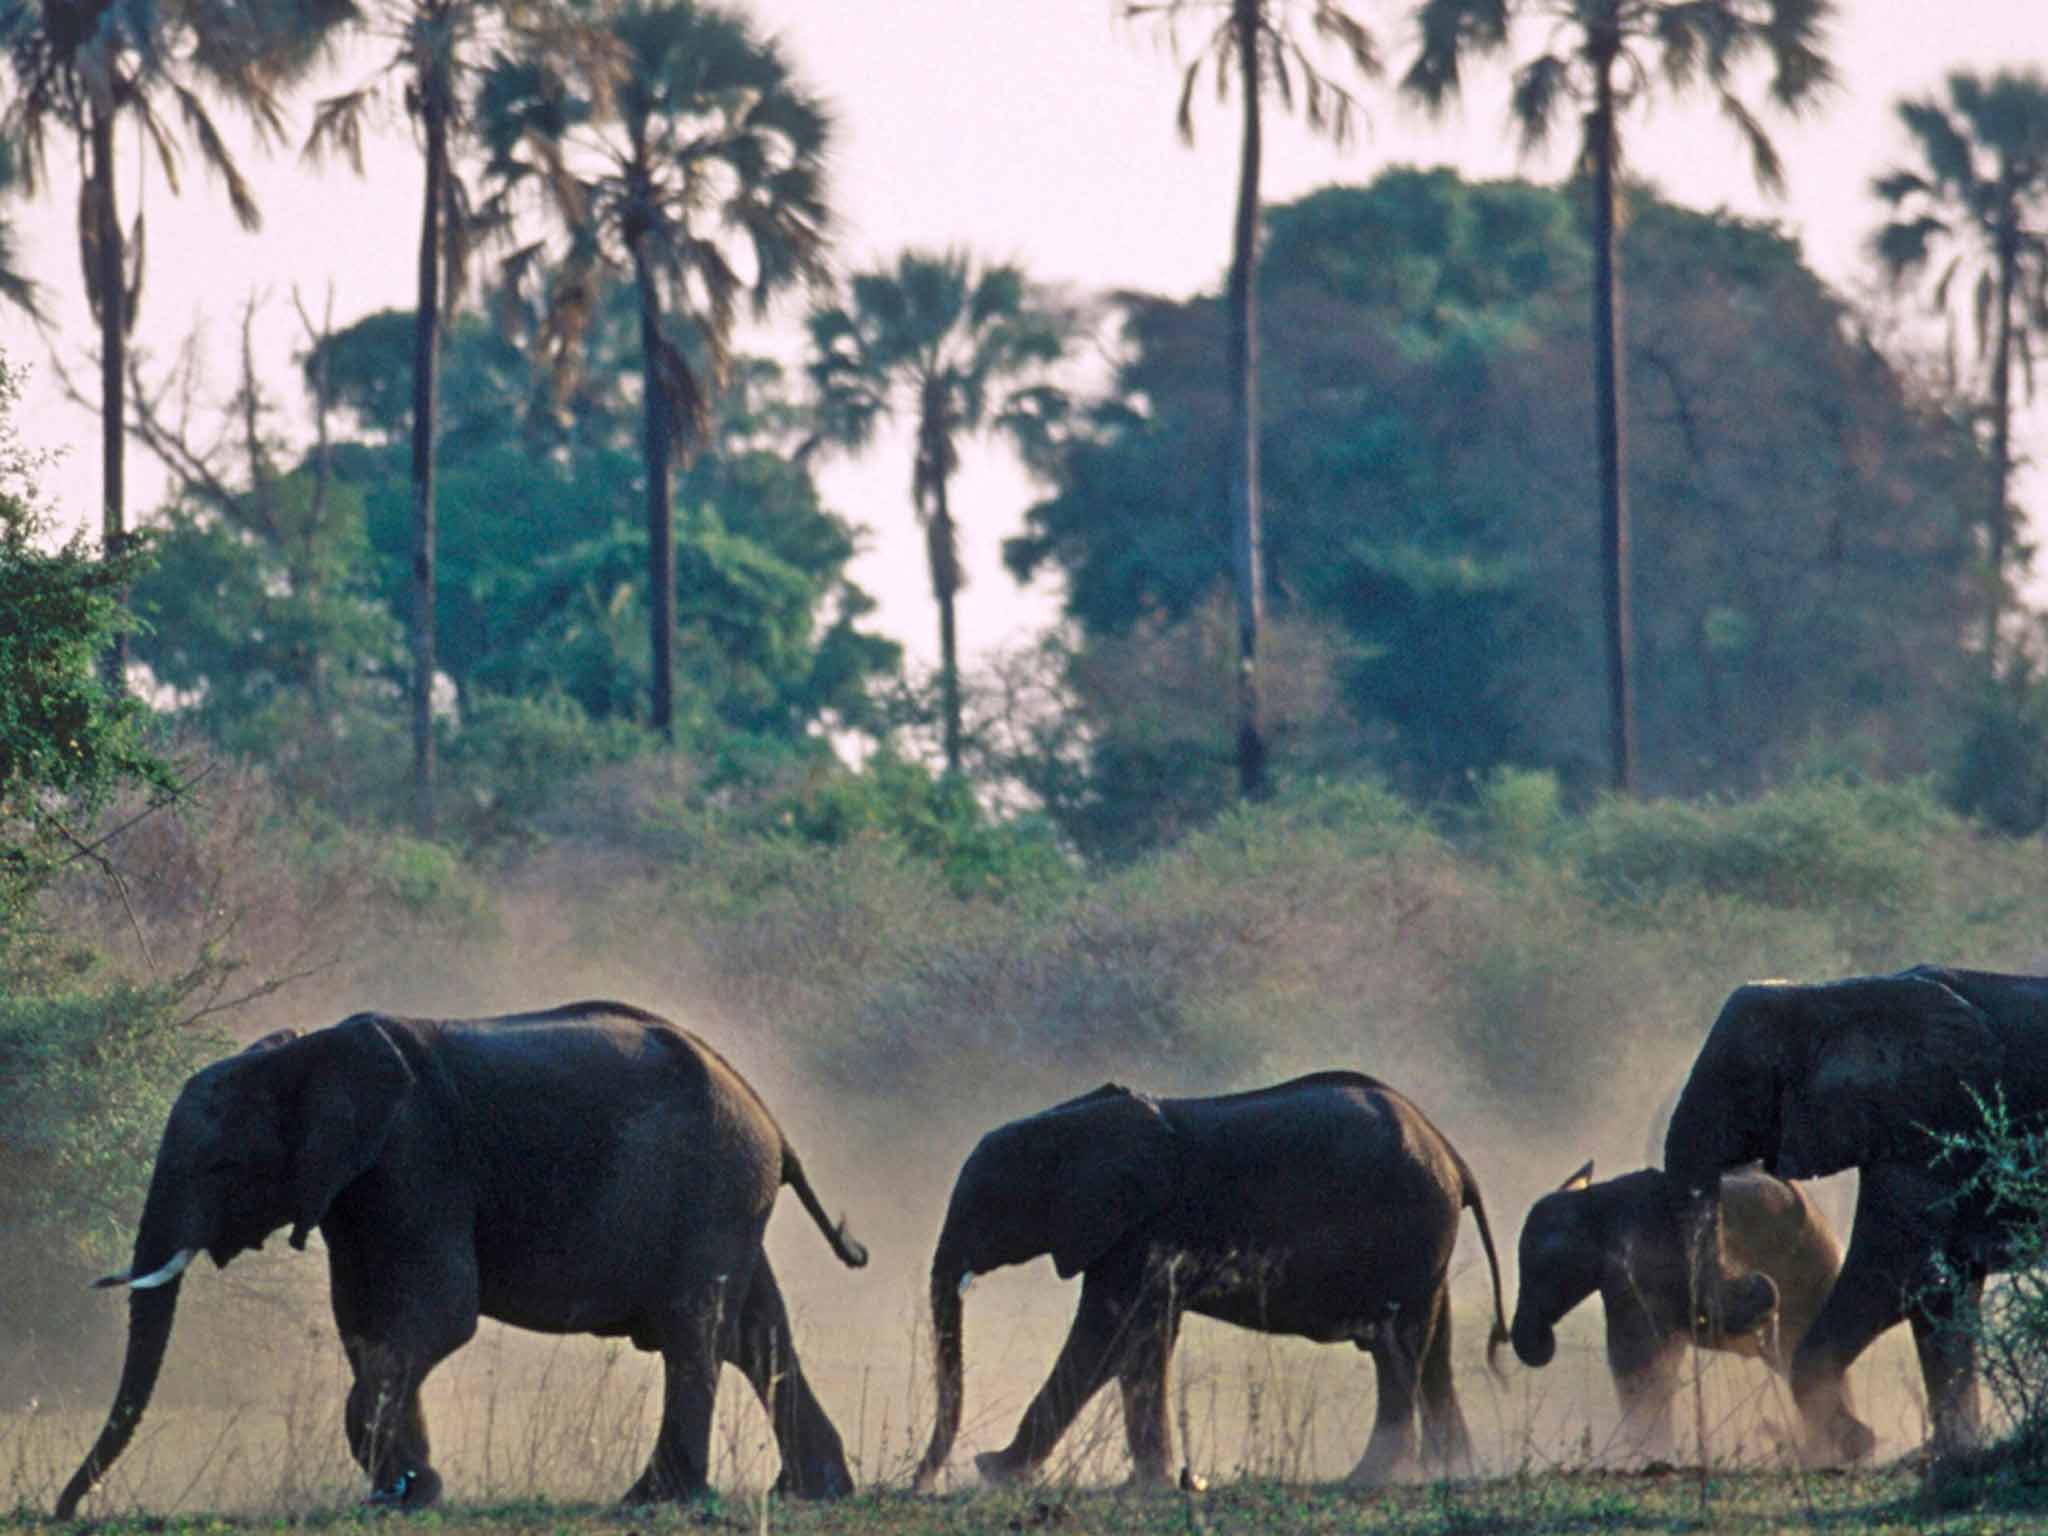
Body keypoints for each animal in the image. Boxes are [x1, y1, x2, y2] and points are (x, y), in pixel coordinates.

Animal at [54, 1003, 872, 1523]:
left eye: (222, 1167)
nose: (62, 1510)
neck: (308, 1051)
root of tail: (772, 1122)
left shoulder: (416, 1158)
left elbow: (436, 1316)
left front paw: (404, 1491)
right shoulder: (360, 1187)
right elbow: (366, 1326)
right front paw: (406, 1492)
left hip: (711, 1187)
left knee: (692, 1335)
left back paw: (652, 1501)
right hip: (731, 1200)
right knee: (756, 1334)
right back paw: (813, 1493)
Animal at [909, 1073, 1507, 1499]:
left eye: (986, 1204)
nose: (920, 1482)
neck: (1071, 1121)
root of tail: (1454, 1157)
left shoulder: (1142, 1230)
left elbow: (1105, 1337)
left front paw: (994, 1472)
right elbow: (1131, 1344)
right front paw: (1144, 1482)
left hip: (1407, 1227)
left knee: (1395, 1349)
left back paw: (1371, 1478)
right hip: (1424, 1249)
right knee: (1432, 1348)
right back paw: (1451, 1469)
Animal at [1662, 974, 2048, 1466]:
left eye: (1740, 1083)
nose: (1757, 1282)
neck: (1830, 1000)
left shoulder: (1925, 1127)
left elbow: (1899, 1275)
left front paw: (1859, 1444)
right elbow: (1944, 1289)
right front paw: (1946, 1452)